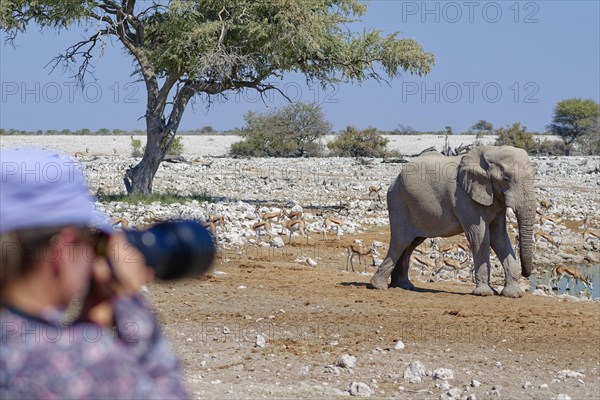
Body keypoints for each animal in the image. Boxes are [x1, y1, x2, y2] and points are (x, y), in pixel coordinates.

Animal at [370, 145, 536, 296]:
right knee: (401, 242)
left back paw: (403, 286)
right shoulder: (463, 197)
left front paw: (513, 294)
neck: (490, 151)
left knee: (411, 243)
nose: (526, 273)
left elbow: (499, 237)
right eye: (506, 179)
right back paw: (378, 286)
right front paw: (484, 293)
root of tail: (395, 180)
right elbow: (479, 236)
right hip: (398, 201)